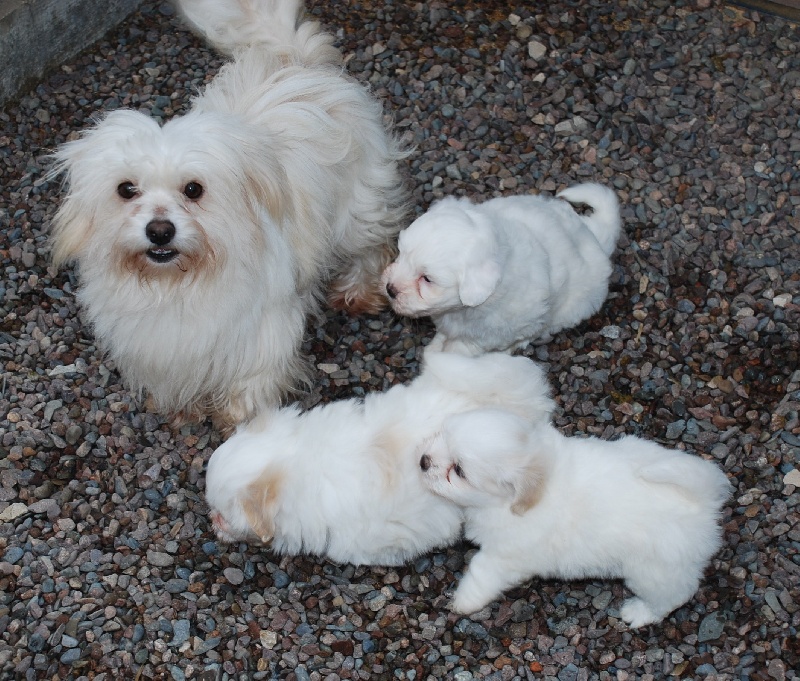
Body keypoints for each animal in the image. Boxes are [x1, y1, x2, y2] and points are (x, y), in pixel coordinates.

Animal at [47, 0, 410, 428]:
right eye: (126, 189)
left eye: (193, 189)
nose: (159, 231)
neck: (179, 281)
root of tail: (300, 64)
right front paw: (182, 409)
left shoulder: (262, 330)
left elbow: (252, 382)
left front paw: (239, 421)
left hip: (358, 212)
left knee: (372, 247)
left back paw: (357, 292)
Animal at [384, 185, 620, 356]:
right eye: (401, 253)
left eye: (427, 279)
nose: (389, 289)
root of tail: (594, 236)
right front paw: (435, 347)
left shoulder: (495, 333)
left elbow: (465, 346)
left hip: (570, 310)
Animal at [422, 406, 736, 624]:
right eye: (441, 434)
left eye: (459, 471)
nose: (423, 461)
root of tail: (701, 501)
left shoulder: (505, 556)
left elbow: (481, 573)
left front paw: (463, 601)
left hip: (654, 572)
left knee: (672, 596)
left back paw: (639, 612)